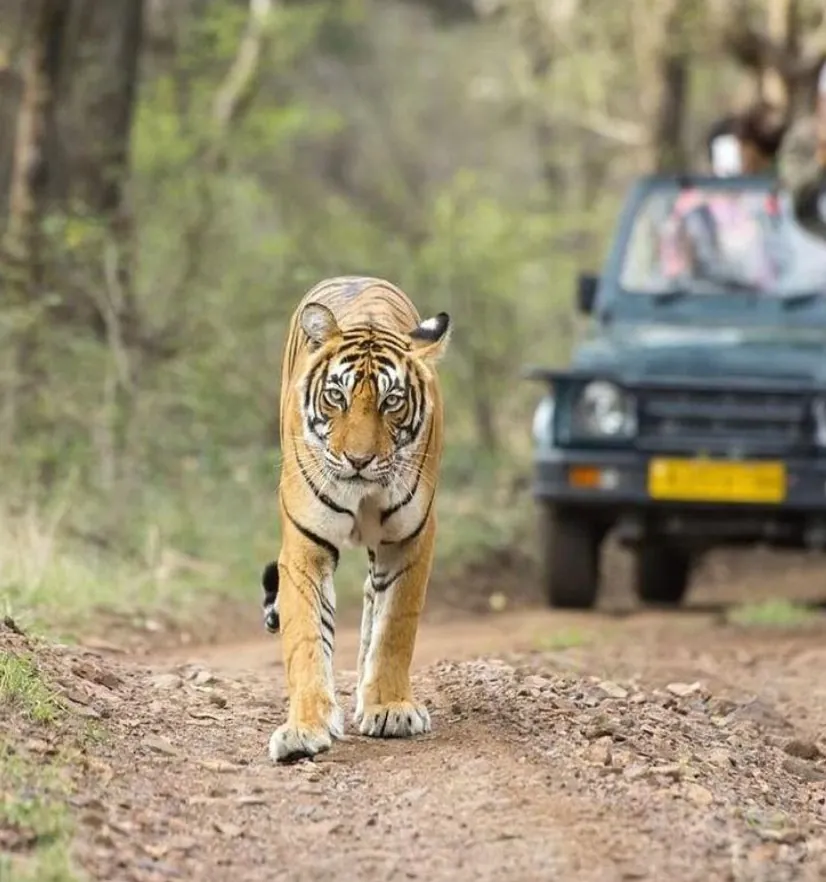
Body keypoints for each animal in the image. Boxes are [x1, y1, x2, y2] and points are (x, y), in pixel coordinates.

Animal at [266, 275, 451, 763]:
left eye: (391, 401)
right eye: (337, 396)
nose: (358, 460)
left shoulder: (410, 540)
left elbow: (395, 627)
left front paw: (389, 709)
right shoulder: (305, 547)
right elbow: (306, 638)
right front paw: (305, 728)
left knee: (373, 599)